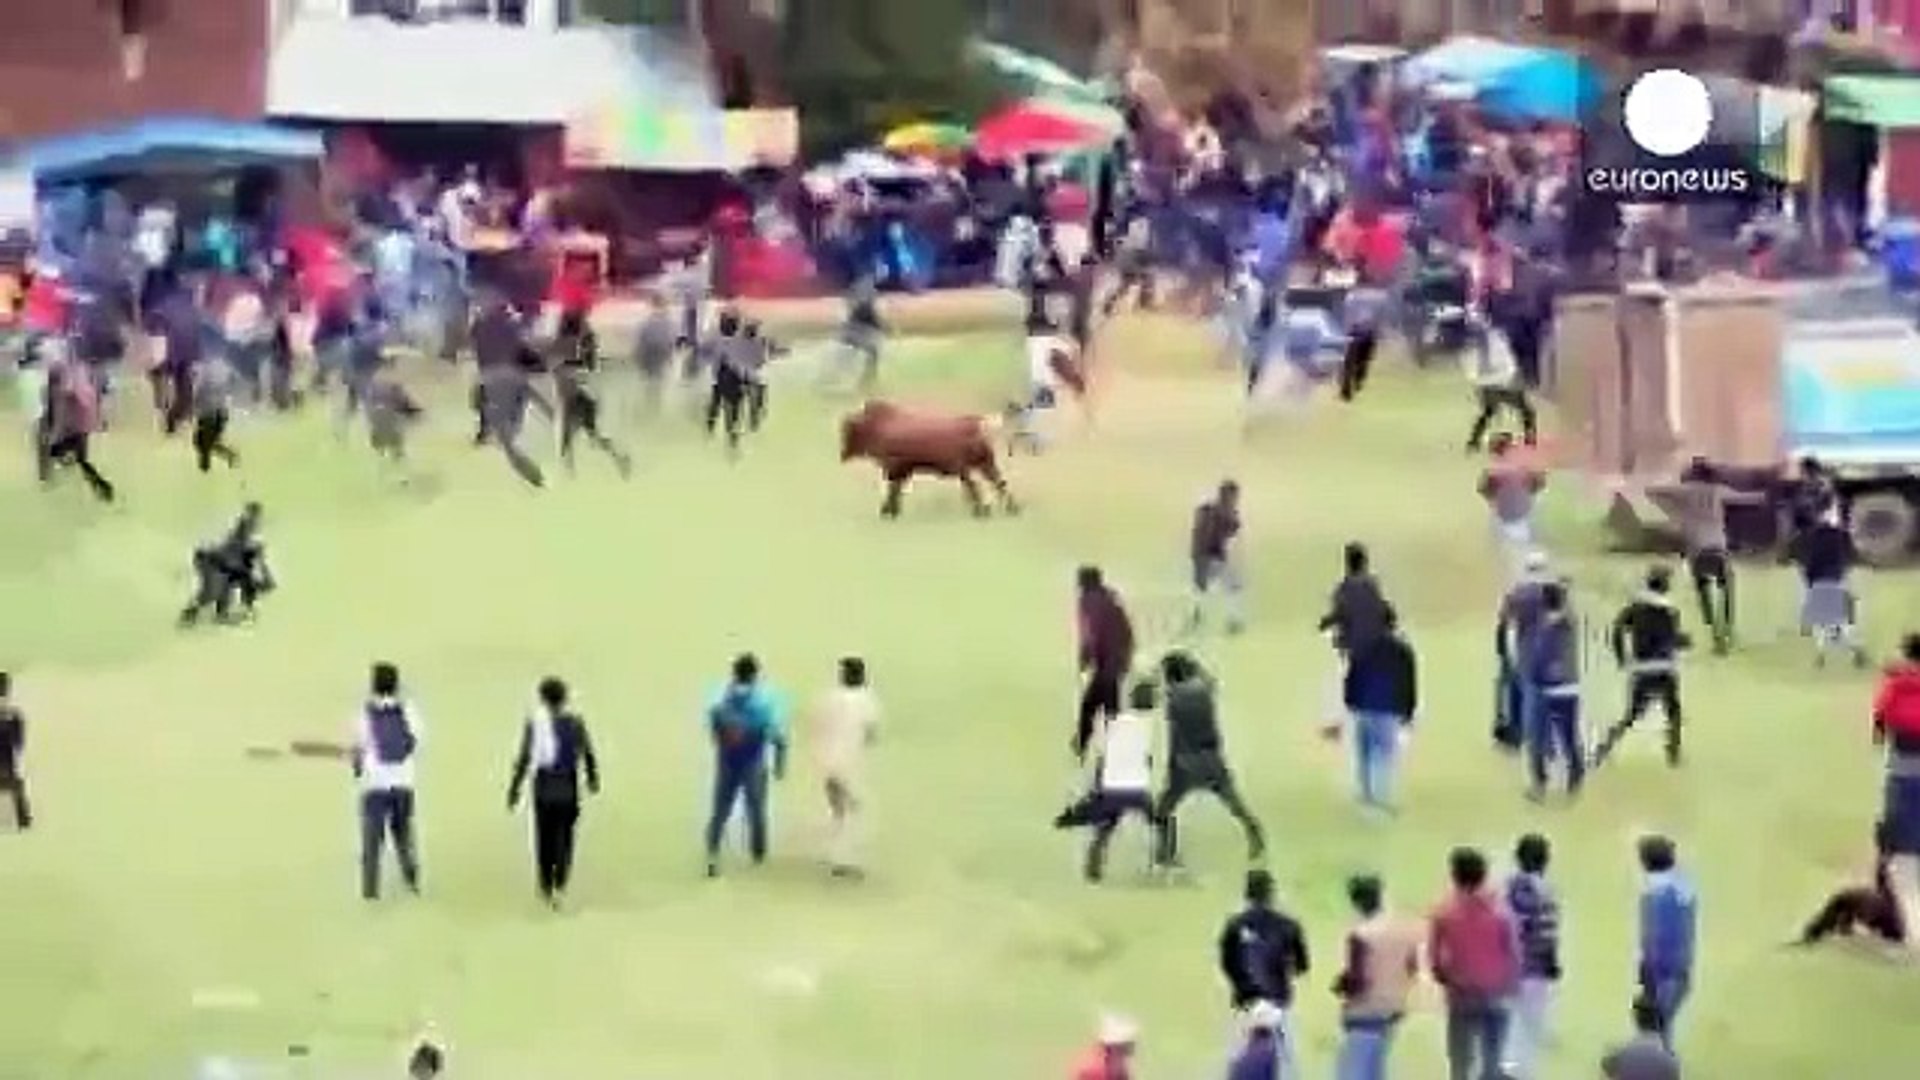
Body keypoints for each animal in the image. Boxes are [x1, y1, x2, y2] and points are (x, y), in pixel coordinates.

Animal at [840, 399, 1021, 518]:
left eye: (848, 429)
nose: (842, 454)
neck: (881, 425)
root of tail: (978, 423)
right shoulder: (903, 470)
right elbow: (896, 490)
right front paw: (891, 511)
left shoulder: (895, 468)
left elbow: (893, 490)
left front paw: (887, 511)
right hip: (985, 464)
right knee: (998, 483)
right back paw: (1009, 509)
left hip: (968, 468)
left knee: (976, 487)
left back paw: (982, 511)